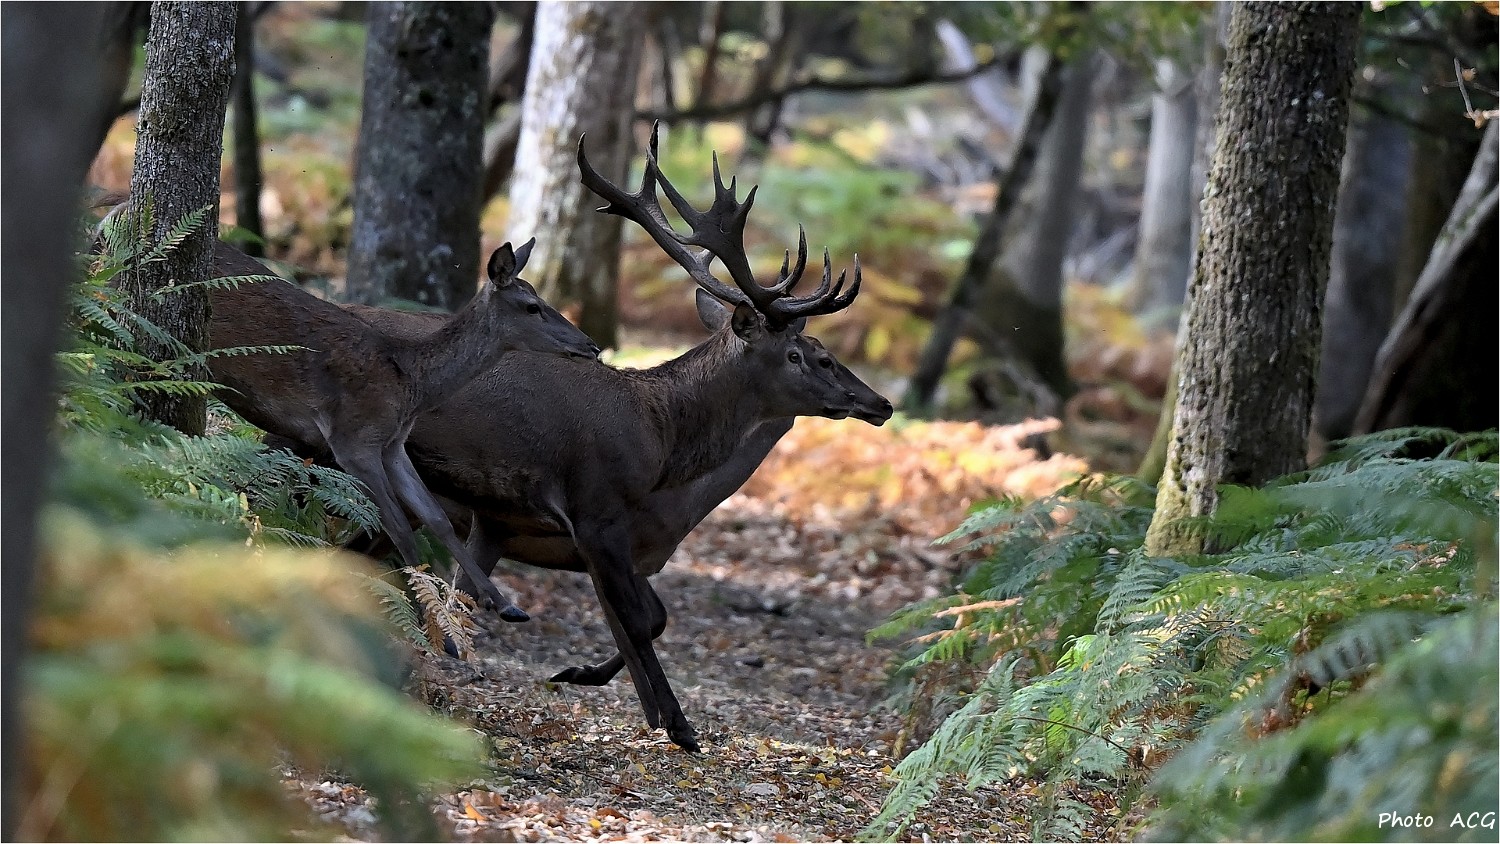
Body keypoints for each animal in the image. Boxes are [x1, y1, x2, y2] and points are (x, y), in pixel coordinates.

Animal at [203, 237, 600, 624]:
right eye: (532, 306)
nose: (592, 346)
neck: (411, 386)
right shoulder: (353, 441)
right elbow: (399, 529)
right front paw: (437, 626)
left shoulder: (393, 446)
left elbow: (436, 519)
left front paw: (505, 605)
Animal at [340, 126, 894, 750]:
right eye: (805, 354)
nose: (879, 403)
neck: (660, 429)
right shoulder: (596, 518)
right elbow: (637, 621)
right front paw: (676, 724)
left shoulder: (534, 529)